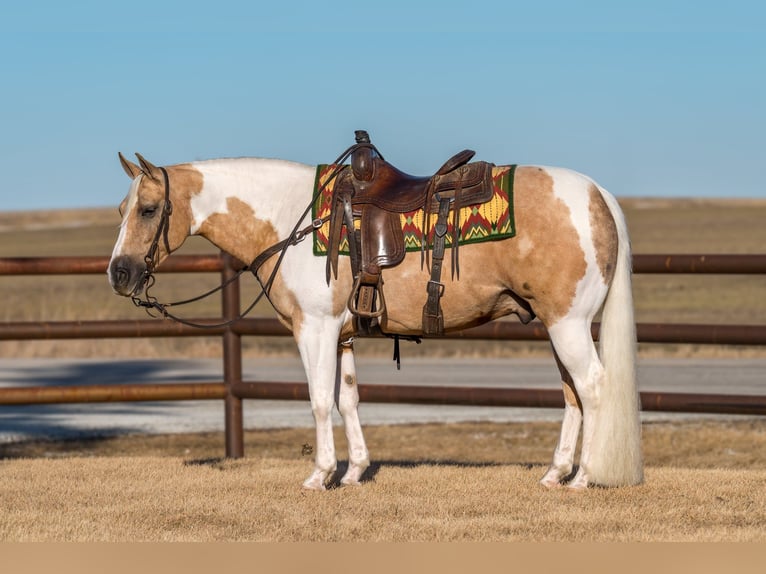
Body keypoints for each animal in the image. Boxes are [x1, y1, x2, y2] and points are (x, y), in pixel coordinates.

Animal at [108, 144, 644, 490]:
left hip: (568, 325)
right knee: (572, 394)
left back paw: (585, 478)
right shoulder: (343, 335)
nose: (119, 273)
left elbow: (319, 400)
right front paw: (355, 470)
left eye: (149, 209)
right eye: (121, 208)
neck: (292, 218)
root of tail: (598, 194)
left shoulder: (315, 329)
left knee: (593, 387)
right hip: (558, 326)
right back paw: (556, 475)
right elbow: (348, 399)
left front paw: (320, 475)